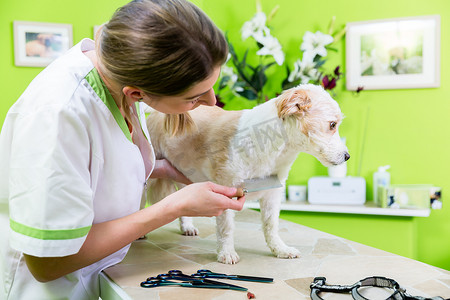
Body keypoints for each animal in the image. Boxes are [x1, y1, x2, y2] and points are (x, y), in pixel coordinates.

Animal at [146, 83, 350, 264]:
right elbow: (226, 228)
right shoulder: (226, 189)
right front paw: (226, 253)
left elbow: (271, 226)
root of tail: (156, 112)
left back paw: (187, 226)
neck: (273, 147)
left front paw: (280, 249)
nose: (347, 156)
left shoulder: (273, 193)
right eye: (332, 125)